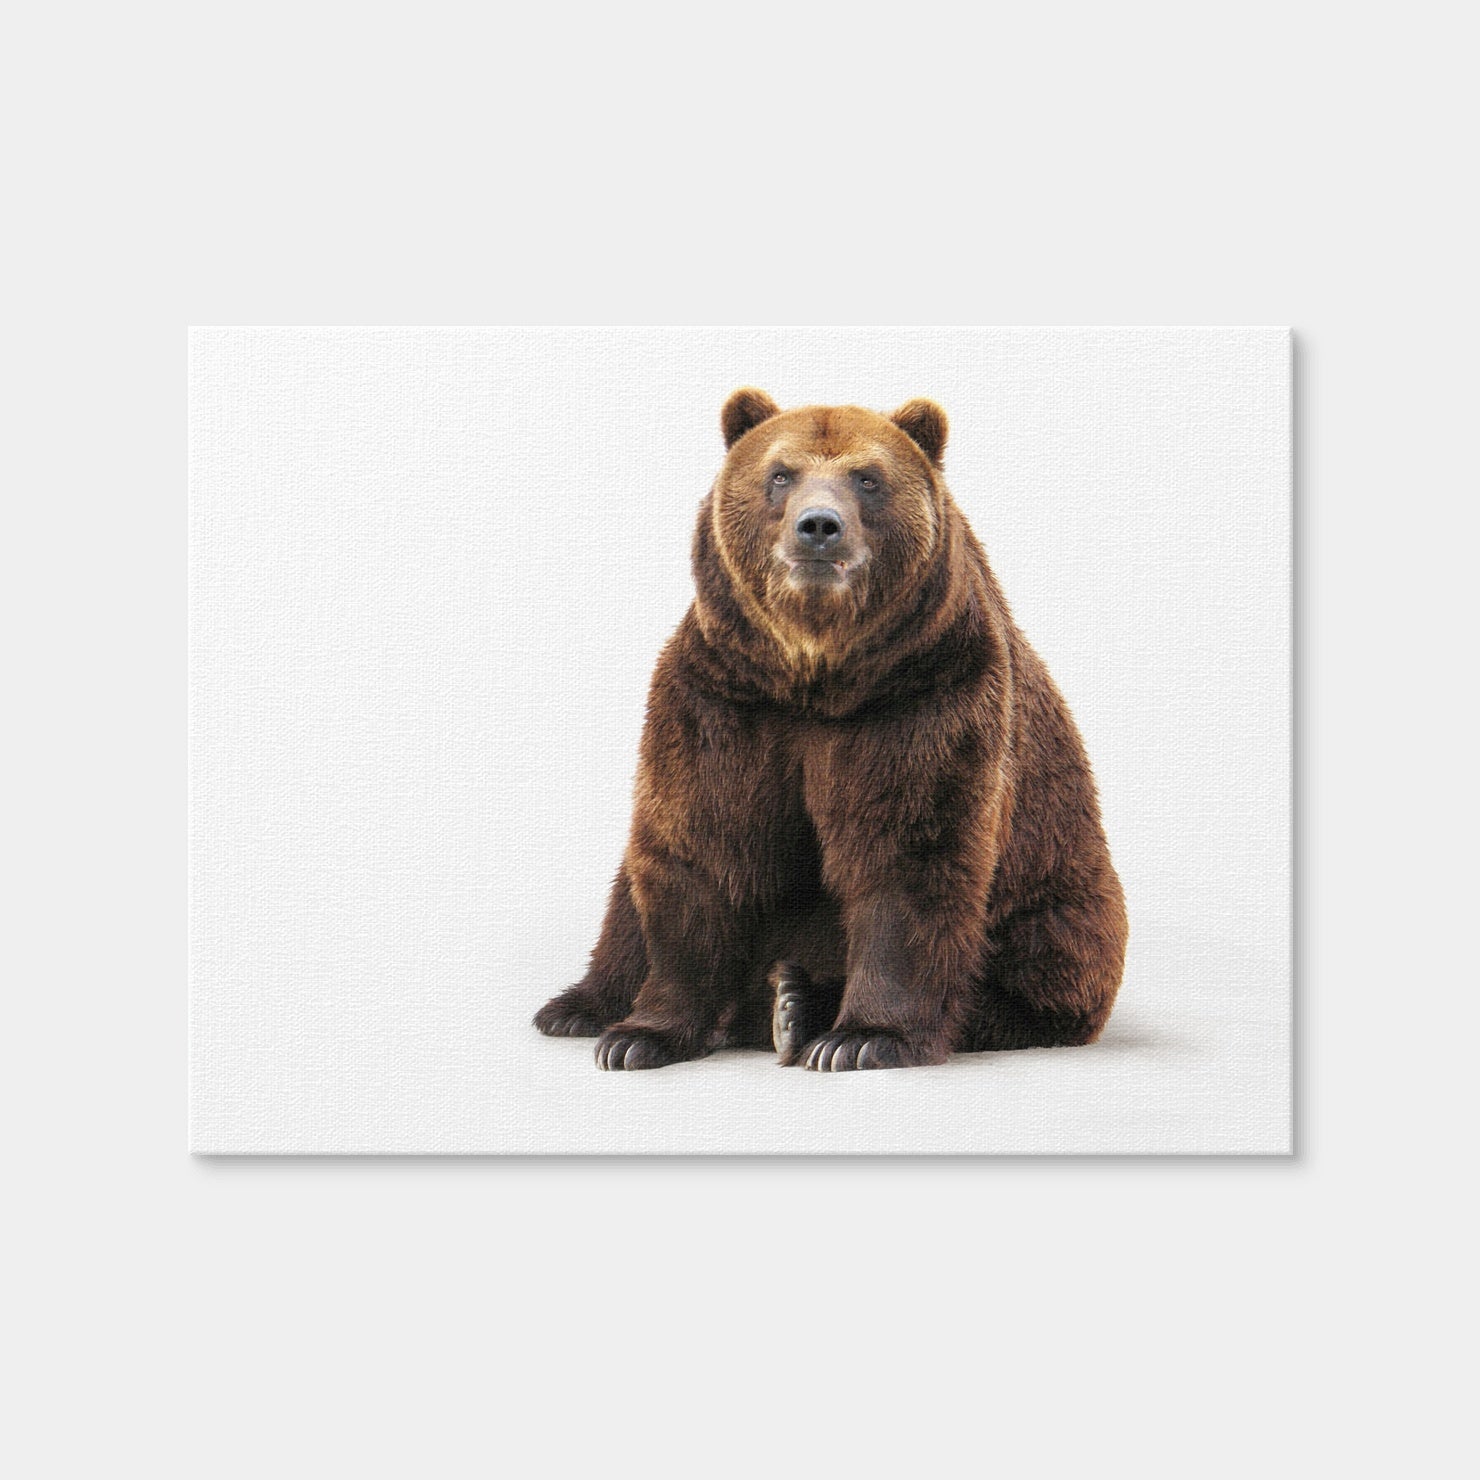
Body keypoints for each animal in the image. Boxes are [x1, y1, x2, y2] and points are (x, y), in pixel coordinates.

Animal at [534, 389, 1127, 1071]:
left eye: (867, 478)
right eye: (780, 473)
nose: (819, 525)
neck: (816, 674)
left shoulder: (924, 697)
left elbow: (908, 854)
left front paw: (863, 1037)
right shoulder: (724, 699)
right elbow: (702, 844)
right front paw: (640, 1035)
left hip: (1058, 896)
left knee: (1034, 966)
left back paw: (797, 1005)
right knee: (627, 902)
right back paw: (579, 1007)